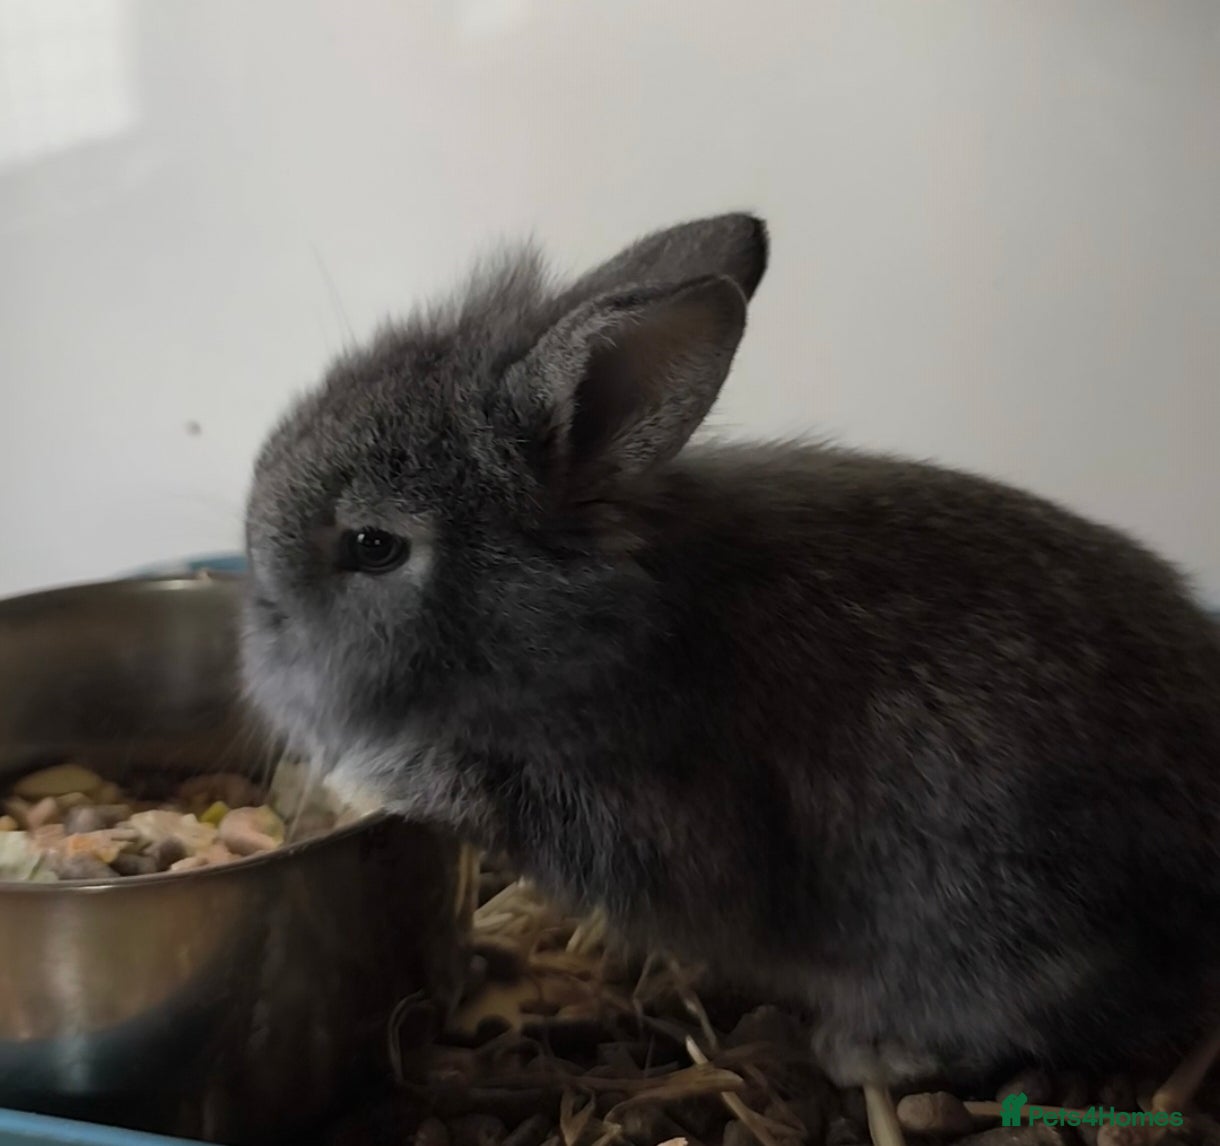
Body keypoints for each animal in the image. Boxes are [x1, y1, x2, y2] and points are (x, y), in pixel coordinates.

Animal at [242, 212, 1220, 1091]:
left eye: (373, 546)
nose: (260, 639)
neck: (589, 625)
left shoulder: (655, 812)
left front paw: (362, 773)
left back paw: (874, 1053)